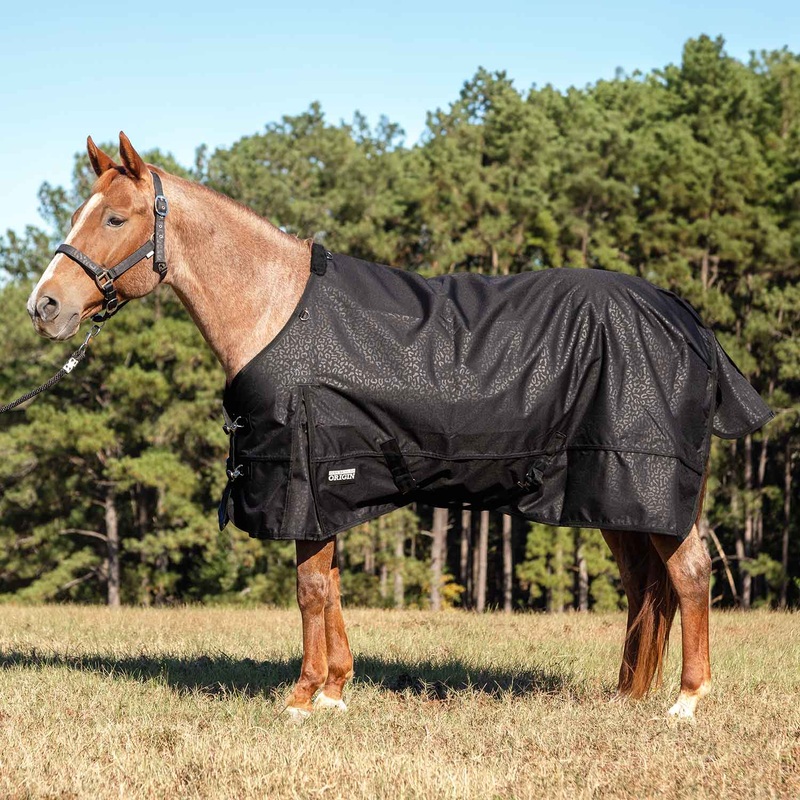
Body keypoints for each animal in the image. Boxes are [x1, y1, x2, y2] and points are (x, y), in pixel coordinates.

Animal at [26, 132, 759, 721]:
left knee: (690, 574)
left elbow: (310, 588)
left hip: (646, 482)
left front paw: (303, 696)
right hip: (615, 492)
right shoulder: (331, 490)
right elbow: (329, 585)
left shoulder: (306, 478)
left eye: (114, 217)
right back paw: (629, 695)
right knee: (646, 585)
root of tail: (687, 320)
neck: (275, 309)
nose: (44, 306)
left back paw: (686, 701)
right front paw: (335, 689)